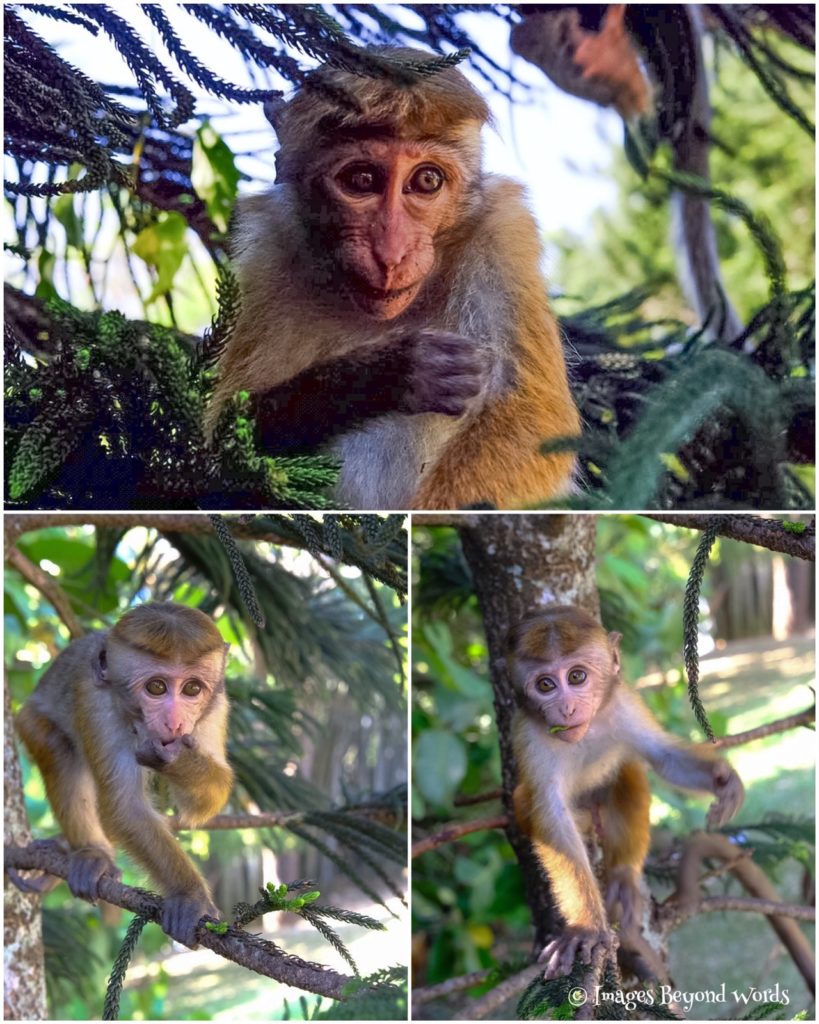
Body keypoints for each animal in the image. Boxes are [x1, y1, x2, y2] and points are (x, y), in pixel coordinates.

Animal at [16, 603, 234, 947]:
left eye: (192, 688)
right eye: (156, 687)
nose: (174, 723)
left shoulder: (217, 705)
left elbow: (206, 804)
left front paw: (176, 759)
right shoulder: (95, 702)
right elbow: (124, 806)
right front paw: (190, 896)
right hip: (31, 720)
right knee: (59, 748)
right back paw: (92, 853)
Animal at [206, 47, 580, 511]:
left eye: (427, 180)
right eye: (361, 180)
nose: (391, 251)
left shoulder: (505, 234)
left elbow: (530, 419)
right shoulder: (266, 255)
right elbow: (217, 445)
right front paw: (386, 374)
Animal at [506, 605, 744, 979]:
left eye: (577, 677)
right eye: (545, 685)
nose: (566, 709)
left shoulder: (623, 702)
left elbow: (663, 757)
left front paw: (723, 780)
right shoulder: (529, 736)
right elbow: (550, 814)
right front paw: (586, 927)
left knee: (628, 771)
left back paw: (624, 876)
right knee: (526, 800)